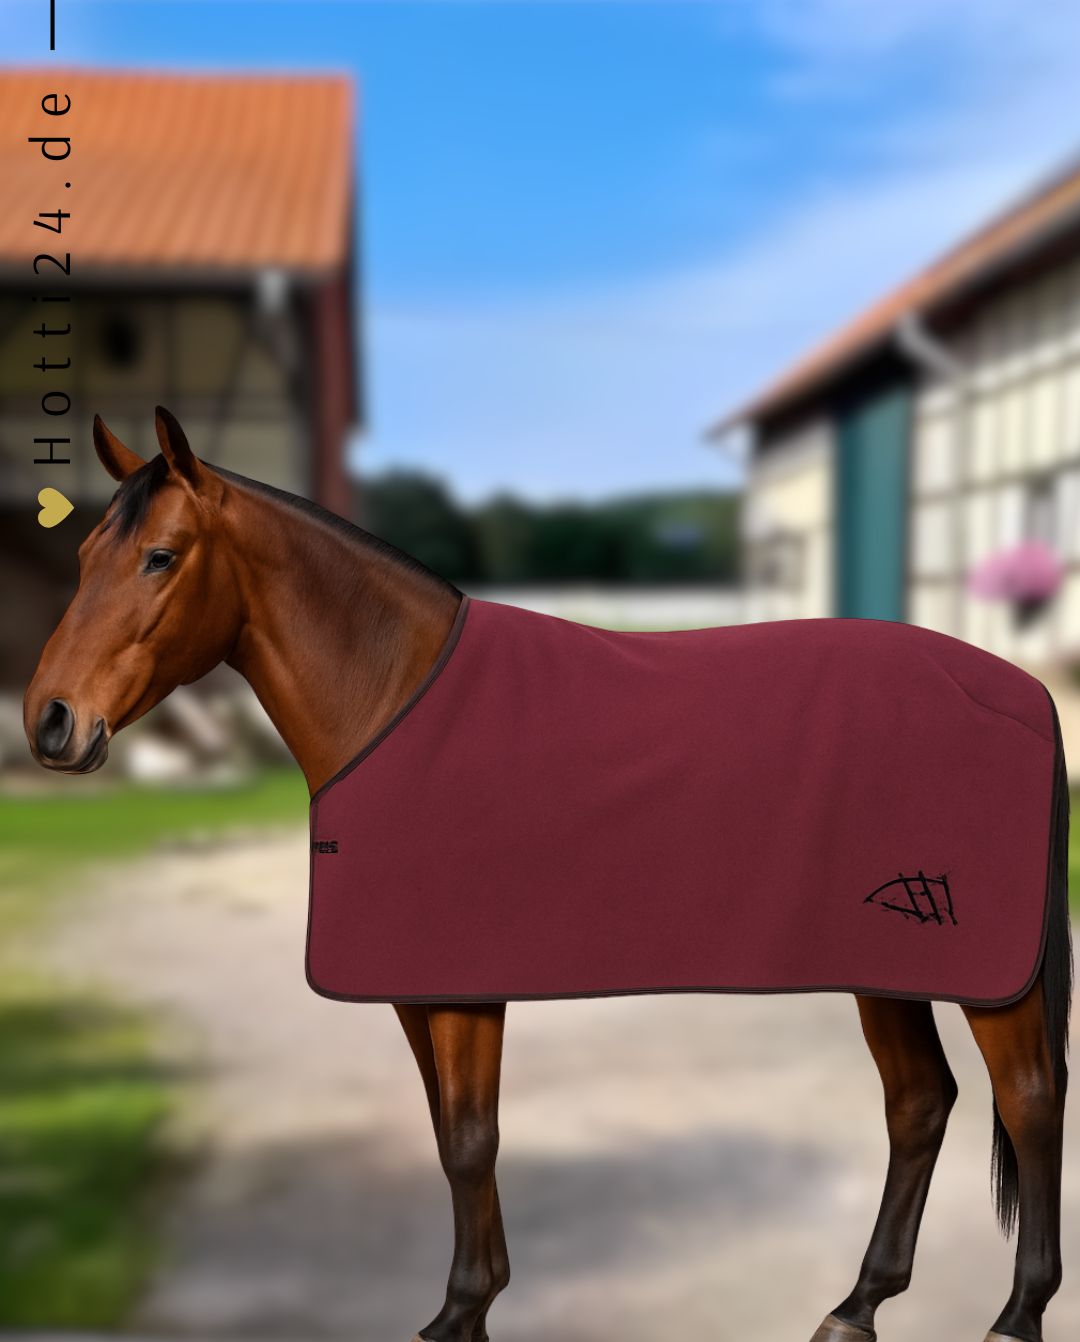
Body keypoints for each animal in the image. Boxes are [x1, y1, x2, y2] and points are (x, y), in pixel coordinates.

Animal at [24, 408, 1071, 1342]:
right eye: (82, 559)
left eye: (161, 557)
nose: (49, 722)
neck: (392, 694)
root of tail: (1019, 690)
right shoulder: (418, 986)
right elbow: (450, 1132)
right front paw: (476, 1303)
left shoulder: (464, 987)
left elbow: (469, 1139)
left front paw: (459, 1313)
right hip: (883, 956)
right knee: (919, 1101)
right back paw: (856, 1306)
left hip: (982, 972)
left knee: (1030, 1097)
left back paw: (1017, 1315)